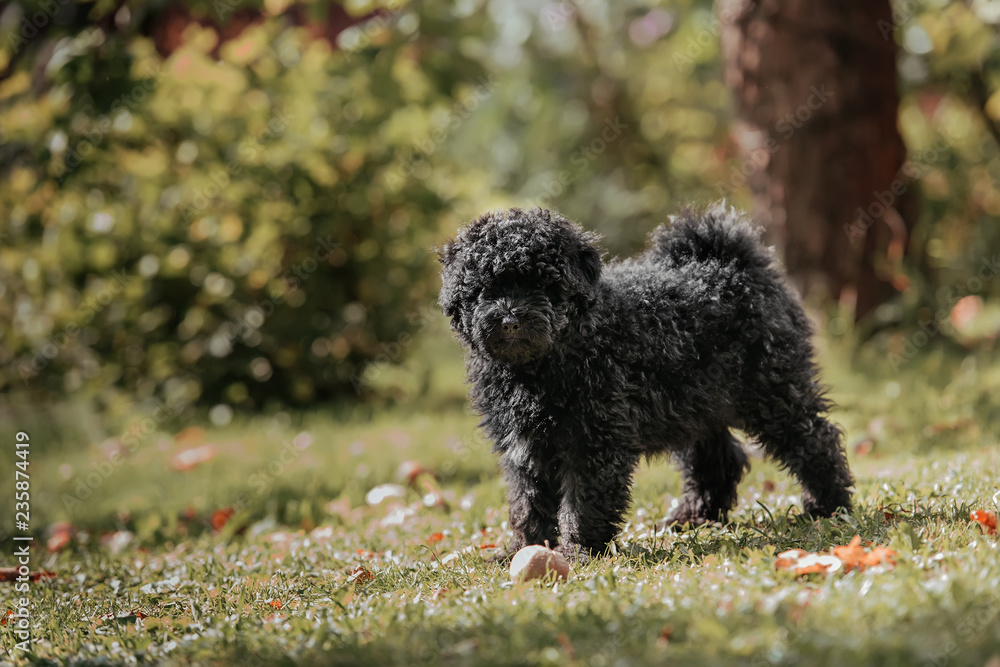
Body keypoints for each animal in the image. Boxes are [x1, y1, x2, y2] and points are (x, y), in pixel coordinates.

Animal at [438, 206, 852, 560]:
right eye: (487, 289)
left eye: (544, 284)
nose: (510, 320)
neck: (539, 365)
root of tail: (731, 258)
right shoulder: (524, 447)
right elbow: (528, 503)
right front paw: (525, 548)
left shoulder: (595, 441)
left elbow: (583, 502)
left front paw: (578, 551)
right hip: (697, 403)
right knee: (718, 459)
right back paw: (694, 517)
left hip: (773, 390)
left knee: (815, 439)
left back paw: (828, 506)